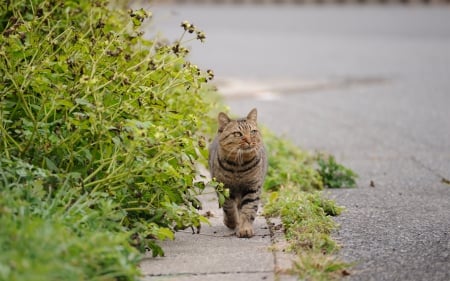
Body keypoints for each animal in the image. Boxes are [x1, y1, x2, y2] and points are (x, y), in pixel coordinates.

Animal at [208, 108, 268, 237]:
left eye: (253, 132)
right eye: (238, 134)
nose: (249, 141)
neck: (239, 166)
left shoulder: (252, 188)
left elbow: (248, 209)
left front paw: (245, 228)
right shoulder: (224, 187)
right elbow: (229, 207)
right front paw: (232, 222)